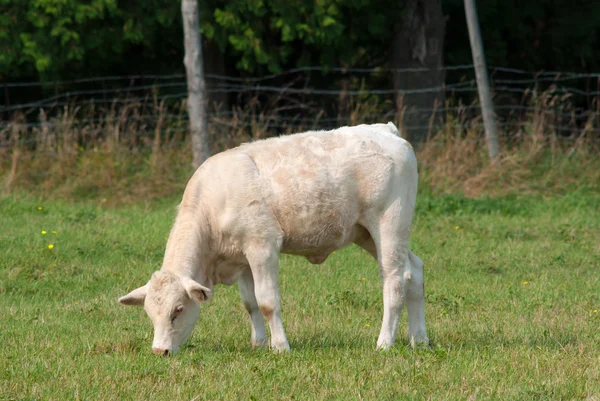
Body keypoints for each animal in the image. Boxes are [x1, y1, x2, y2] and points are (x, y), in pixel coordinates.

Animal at [118, 121, 426, 354]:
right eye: (149, 314)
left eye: (178, 310)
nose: (160, 351)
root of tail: (385, 130)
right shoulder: (241, 259)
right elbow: (250, 303)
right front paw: (258, 343)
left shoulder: (262, 247)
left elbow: (267, 301)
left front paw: (280, 347)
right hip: (366, 234)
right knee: (415, 271)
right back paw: (419, 340)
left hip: (389, 224)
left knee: (394, 280)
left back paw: (384, 343)